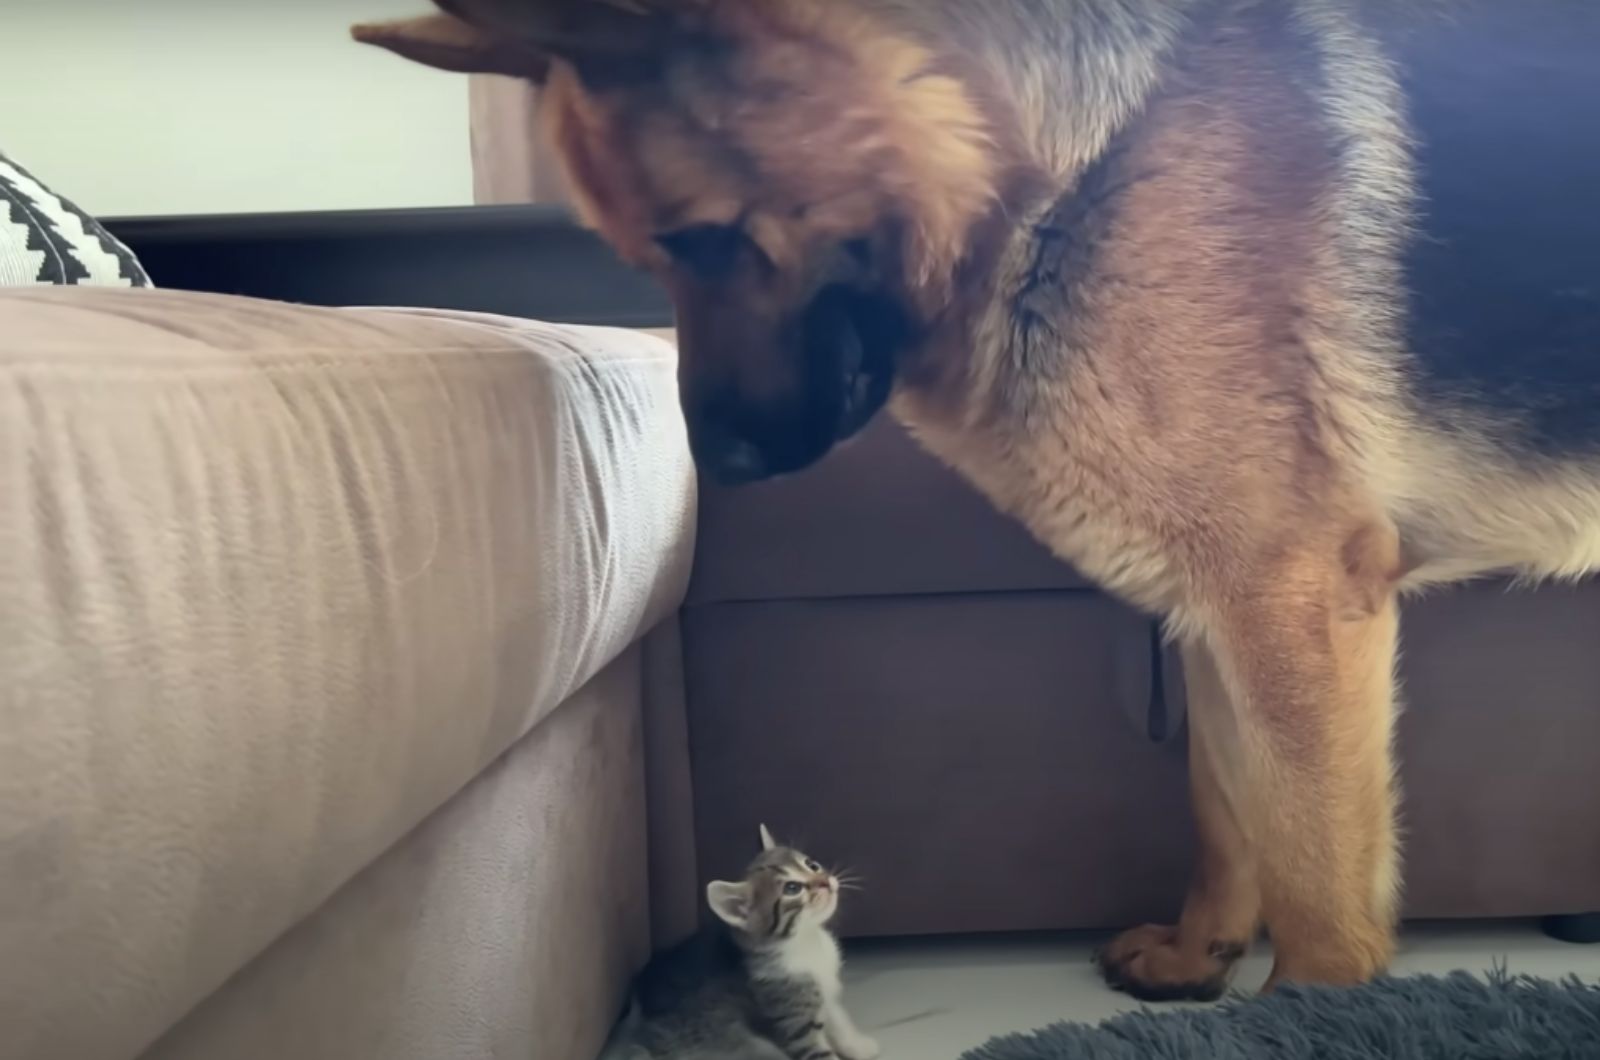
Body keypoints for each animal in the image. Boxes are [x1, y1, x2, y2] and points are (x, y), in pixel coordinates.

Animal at [356, 0, 1593, 999]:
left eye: (704, 238)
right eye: (641, 255)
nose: (717, 466)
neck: (1067, 171)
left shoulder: (1287, 605)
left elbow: (1314, 863)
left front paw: (1312, 1009)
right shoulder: (1218, 617)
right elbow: (1225, 807)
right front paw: (1198, 955)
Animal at [601, 832, 876, 1060]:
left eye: (812, 865)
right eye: (792, 888)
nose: (826, 881)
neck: (805, 942)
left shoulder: (824, 990)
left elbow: (837, 1018)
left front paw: (859, 1046)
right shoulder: (791, 1022)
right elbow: (816, 1051)